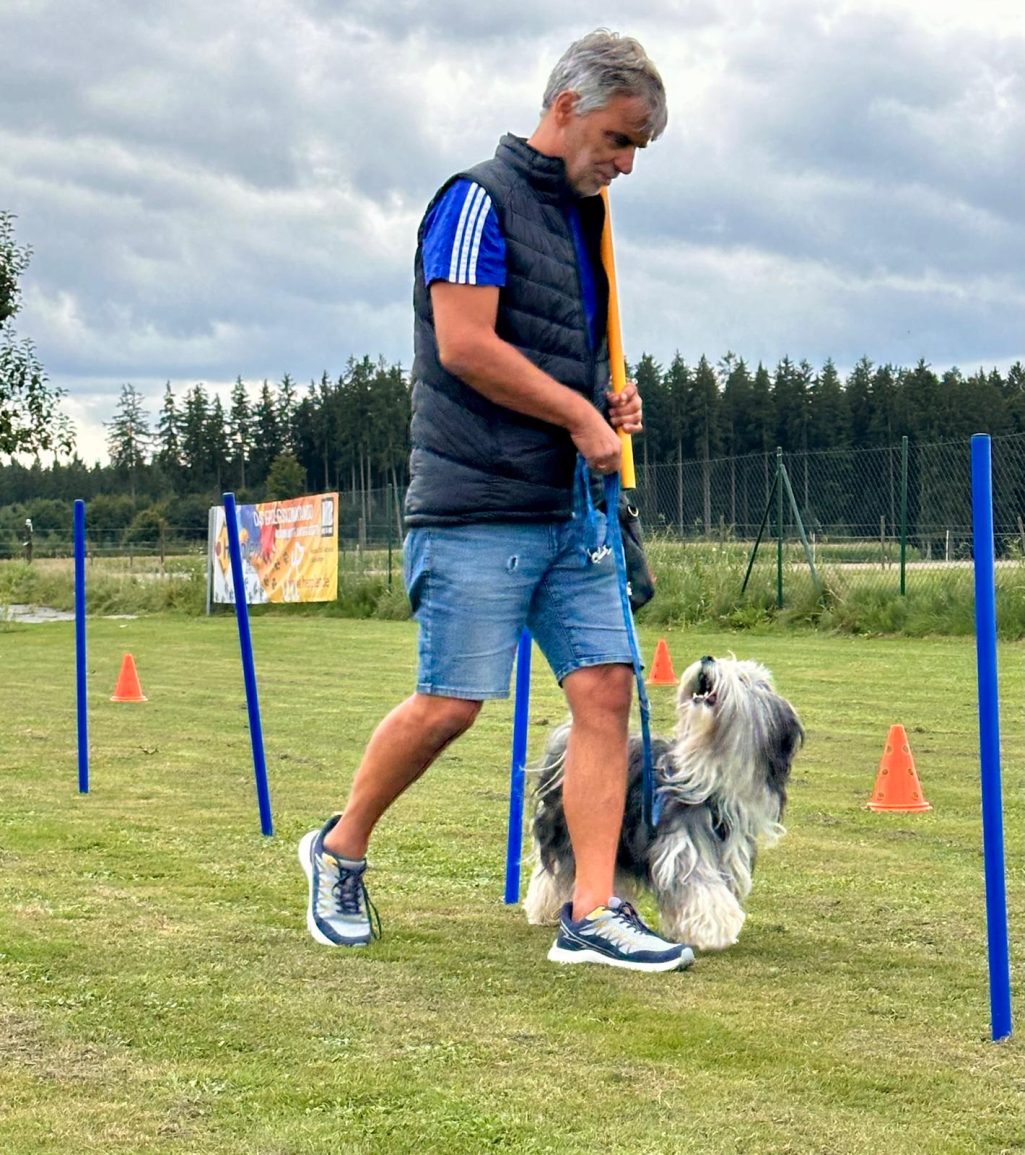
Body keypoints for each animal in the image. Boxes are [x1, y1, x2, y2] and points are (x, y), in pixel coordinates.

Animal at [523, 655, 803, 951]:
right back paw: (548, 909)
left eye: (743, 679)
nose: (707, 658)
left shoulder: (728, 851)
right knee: (556, 870)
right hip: (567, 829)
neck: (708, 773)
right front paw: (713, 930)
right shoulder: (683, 850)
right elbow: (702, 889)